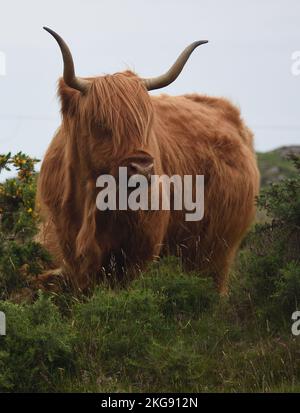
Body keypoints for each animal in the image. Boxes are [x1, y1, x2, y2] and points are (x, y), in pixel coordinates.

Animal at [35, 27, 260, 292]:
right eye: (100, 123)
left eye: (144, 123)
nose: (142, 168)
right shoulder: (71, 251)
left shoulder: (139, 251)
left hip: (219, 250)